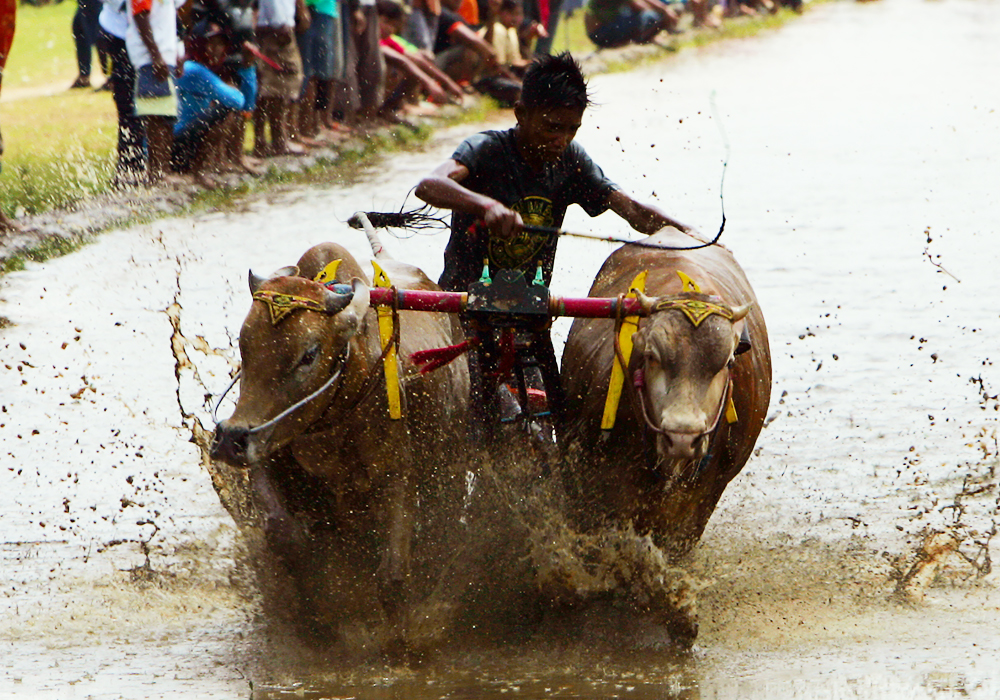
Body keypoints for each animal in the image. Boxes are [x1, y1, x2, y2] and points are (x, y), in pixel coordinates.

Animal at [211, 241, 468, 652]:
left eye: (308, 354)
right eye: (244, 345)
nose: (231, 439)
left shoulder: (398, 476)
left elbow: (393, 575)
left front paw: (401, 642)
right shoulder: (267, 456)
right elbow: (285, 535)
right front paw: (319, 618)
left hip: (452, 467)